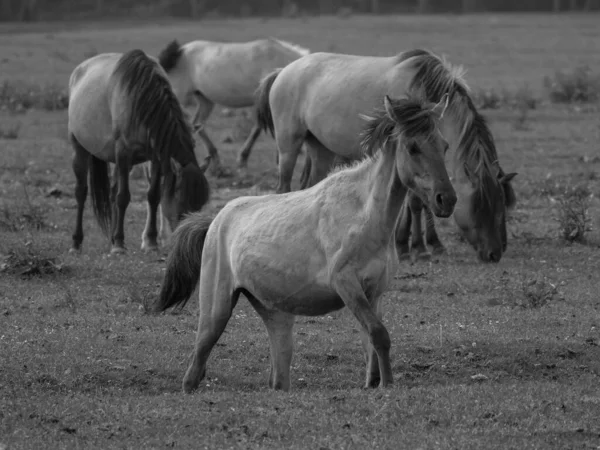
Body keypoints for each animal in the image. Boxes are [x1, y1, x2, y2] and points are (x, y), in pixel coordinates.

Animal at [68, 49, 211, 255]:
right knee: (81, 192)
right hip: (80, 149)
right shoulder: (123, 153)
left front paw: (150, 241)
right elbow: (123, 197)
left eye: (200, 204)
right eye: (181, 199)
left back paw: (111, 238)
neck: (141, 100)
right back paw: (77, 242)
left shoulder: (156, 158)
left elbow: (153, 196)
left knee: (112, 191)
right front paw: (119, 245)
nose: (188, 236)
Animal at [152, 94, 458, 390]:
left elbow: (371, 341)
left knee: (278, 379)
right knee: (194, 368)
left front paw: (375, 382)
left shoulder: (374, 292)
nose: (447, 200)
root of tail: (216, 220)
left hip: (276, 317)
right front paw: (388, 384)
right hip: (216, 311)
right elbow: (379, 334)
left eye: (444, 146)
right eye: (413, 147)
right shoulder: (346, 284)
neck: (363, 215)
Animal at [156, 37, 310, 176]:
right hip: (177, 96)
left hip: (205, 100)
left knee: (197, 124)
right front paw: (245, 161)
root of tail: (180, 51)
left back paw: (216, 161)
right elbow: (259, 129)